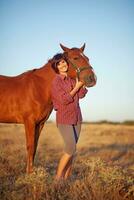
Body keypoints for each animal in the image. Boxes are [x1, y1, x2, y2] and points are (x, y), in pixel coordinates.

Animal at [0, 43, 96, 173]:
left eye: (87, 58)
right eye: (76, 58)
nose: (92, 78)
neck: (38, 87)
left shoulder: (40, 123)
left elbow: (35, 147)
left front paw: (31, 172)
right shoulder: (29, 122)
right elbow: (30, 146)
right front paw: (29, 174)